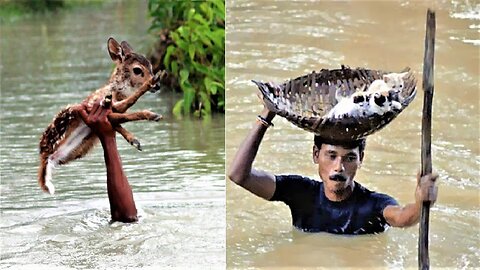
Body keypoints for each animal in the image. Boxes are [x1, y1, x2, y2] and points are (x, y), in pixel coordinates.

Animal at [38, 37, 165, 194]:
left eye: (151, 66)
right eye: (137, 70)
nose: (157, 85)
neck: (116, 92)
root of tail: (45, 156)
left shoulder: (108, 112)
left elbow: (120, 120)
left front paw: (134, 140)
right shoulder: (96, 106)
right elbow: (126, 108)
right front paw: (151, 114)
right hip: (70, 113)